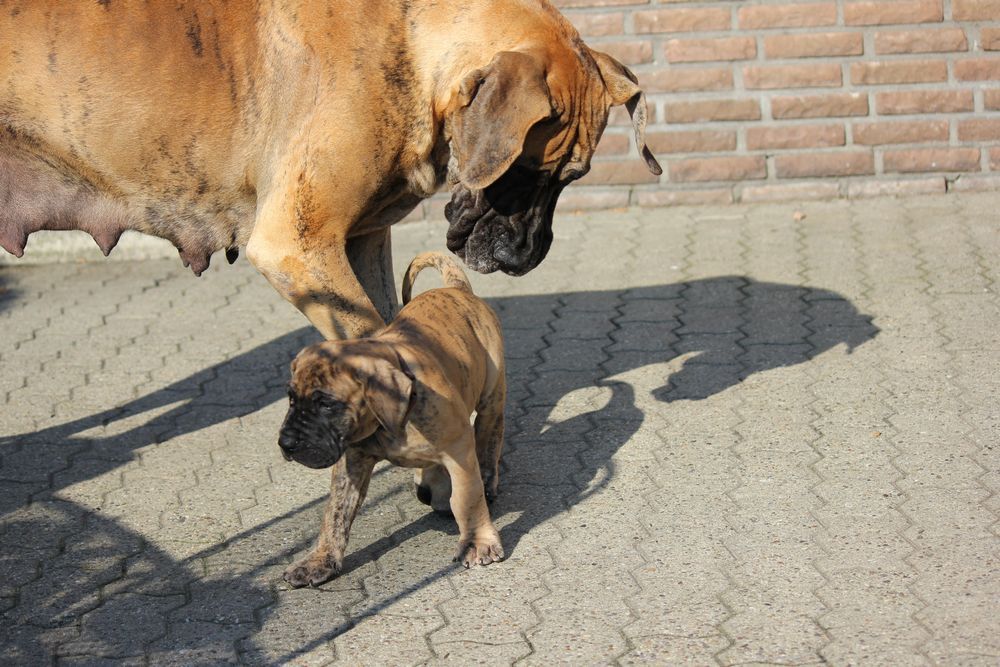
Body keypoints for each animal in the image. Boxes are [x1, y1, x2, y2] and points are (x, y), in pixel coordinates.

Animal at [278, 251, 506, 585]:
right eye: (292, 399)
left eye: (326, 404)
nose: (286, 443)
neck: (392, 420)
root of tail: (456, 288)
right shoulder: (351, 463)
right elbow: (335, 513)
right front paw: (320, 559)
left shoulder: (460, 450)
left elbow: (467, 498)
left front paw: (477, 542)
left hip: (492, 395)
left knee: (489, 439)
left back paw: (485, 481)